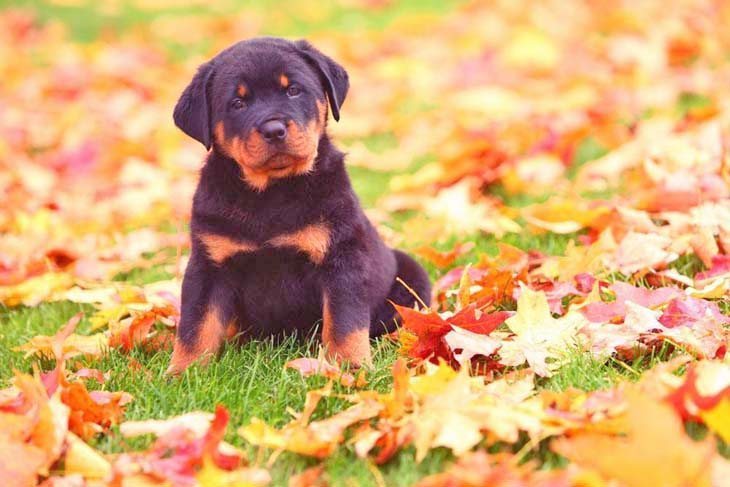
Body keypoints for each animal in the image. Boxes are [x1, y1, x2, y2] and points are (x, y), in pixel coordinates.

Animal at [166, 38, 426, 376]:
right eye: (237, 103)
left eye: (293, 90)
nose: (274, 129)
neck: (271, 193)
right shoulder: (209, 264)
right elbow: (196, 326)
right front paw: (182, 373)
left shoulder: (340, 258)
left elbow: (345, 322)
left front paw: (350, 368)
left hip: (412, 276)